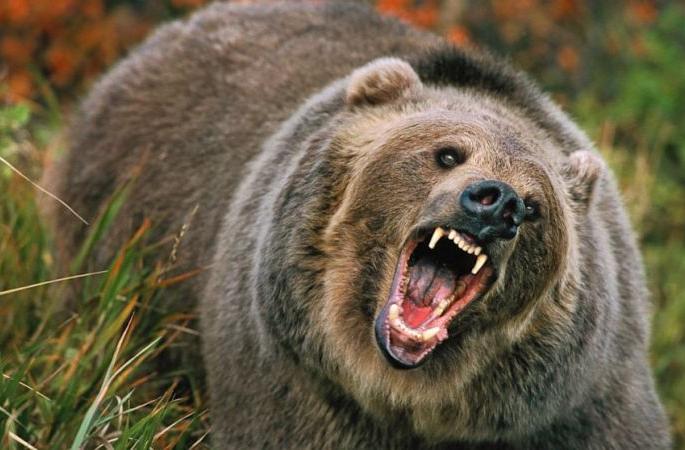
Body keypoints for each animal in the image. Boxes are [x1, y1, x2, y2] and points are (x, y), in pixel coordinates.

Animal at [44, 1, 670, 449]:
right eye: (448, 153)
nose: (498, 204)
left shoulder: (577, 405)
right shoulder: (292, 379)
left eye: (537, 206)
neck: (408, 397)